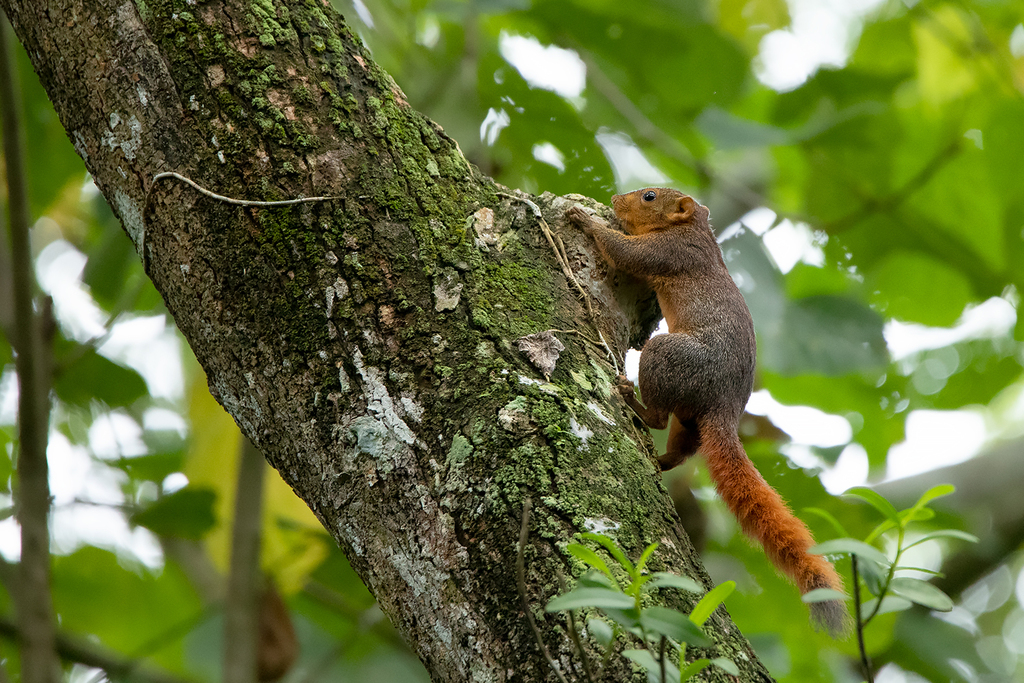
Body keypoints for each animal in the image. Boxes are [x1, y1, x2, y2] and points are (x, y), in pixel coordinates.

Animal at [566, 188, 849, 636]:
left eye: (649, 196)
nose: (615, 197)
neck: (694, 227)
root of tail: (724, 409)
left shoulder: (671, 251)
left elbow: (625, 253)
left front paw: (584, 219)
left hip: (667, 356)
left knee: (659, 417)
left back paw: (632, 401)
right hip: (690, 417)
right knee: (683, 448)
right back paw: (661, 458)